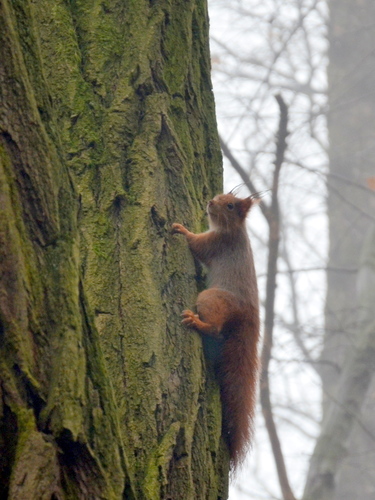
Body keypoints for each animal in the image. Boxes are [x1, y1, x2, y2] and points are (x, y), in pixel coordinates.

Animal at [172, 191, 260, 468]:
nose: (210, 202)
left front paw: (181, 229)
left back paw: (197, 322)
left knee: (215, 329)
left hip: (212, 298)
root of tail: (246, 315)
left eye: (230, 205)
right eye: (221, 195)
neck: (234, 229)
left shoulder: (216, 243)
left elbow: (196, 244)